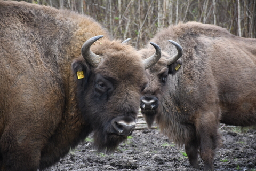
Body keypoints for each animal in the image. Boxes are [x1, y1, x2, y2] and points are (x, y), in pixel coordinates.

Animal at [140, 22, 256, 170]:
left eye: (164, 75)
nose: (148, 103)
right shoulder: (188, 124)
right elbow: (191, 152)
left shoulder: (206, 117)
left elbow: (206, 151)